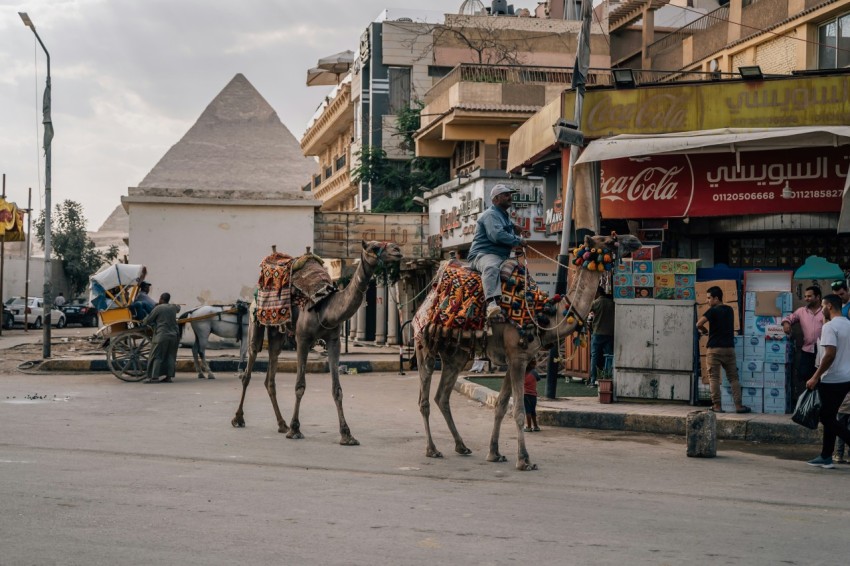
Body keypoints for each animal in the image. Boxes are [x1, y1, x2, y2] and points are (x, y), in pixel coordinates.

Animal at [232, 239, 404, 444]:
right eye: (374, 247)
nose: (397, 250)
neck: (325, 307)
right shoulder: (302, 339)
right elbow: (300, 386)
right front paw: (295, 429)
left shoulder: (334, 340)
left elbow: (337, 389)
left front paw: (347, 435)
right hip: (255, 322)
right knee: (248, 368)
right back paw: (239, 418)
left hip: (277, 332)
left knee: (270, 374)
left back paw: (281, 424)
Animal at [414, 233, 640, 472]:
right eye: (607, 240)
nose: (634, 240)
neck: (544, 316)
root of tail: (425, 299)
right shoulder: (518, 358)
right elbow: (519, 410)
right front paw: (524, 460)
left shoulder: (515, 360)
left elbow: (501, 406)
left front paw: (494, 453)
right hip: (424, 345)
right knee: (424, 399)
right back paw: (432, 449)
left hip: (455, 355)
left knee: (442, 396)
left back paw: (461, 446)